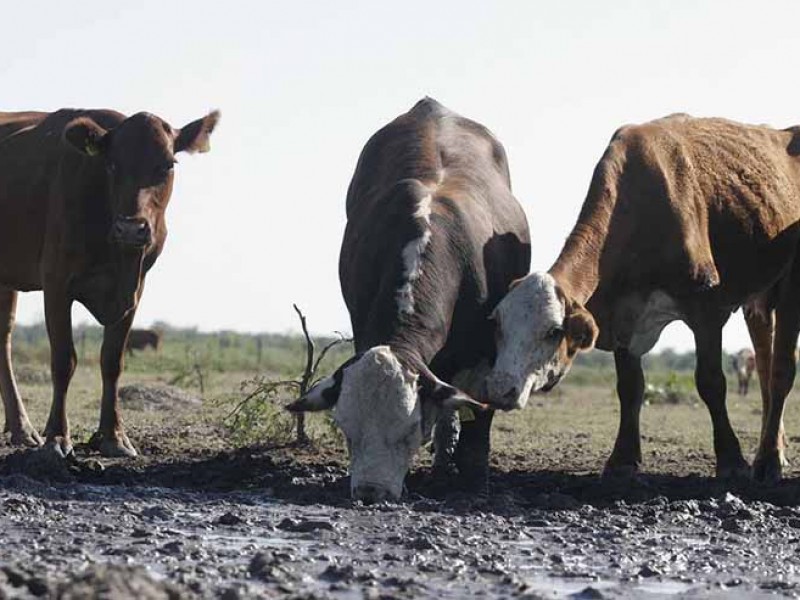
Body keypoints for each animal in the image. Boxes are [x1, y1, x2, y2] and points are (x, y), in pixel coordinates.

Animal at [0, 108, 219, 458]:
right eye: (112, 164)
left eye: (167, 165)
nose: (131, 228)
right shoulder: (56, 281)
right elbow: (64, 360)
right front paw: (58, 436)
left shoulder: (135, 290)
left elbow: (112, 360)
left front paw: (113, 436)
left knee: (3, 336)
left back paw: (21, 428)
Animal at [288, 97, 532, 502]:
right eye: (347, 431)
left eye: (409, 432)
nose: (370, 492)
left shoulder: (487, 354)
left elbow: (477, 424)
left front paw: (474, 482)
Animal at [484, 115, 800, 486]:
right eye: (498, 325)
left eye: (552, 332)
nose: (499, 387)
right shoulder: (623, 313)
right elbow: (630, 387)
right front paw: (622, 460)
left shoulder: (705, 310)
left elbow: (711, 382)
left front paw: (732, 460)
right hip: (759, 300)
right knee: (764, 368)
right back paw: (774, 447)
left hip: (791, 288)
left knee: (780, 371)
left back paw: (769, 459)